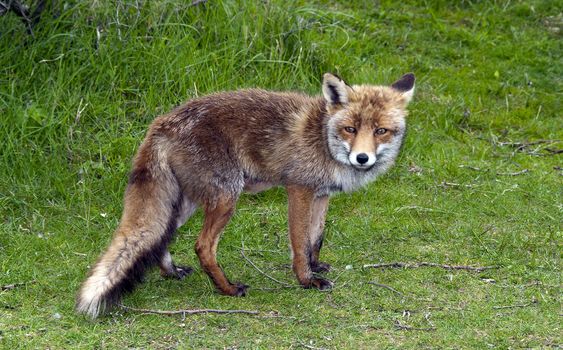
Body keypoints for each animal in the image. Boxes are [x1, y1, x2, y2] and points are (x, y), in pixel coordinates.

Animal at [76, 71, 414, 318]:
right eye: (350, 129)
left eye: (381, 131)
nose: (362, 158)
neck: (322, 138)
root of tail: (161, 122)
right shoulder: (299, 190)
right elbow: (299, 243)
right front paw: (306, 280)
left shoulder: (321, 195)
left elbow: (316, 238)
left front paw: (316, 265)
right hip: (226, 198)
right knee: (202, 247)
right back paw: (226, 288)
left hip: (186, 203)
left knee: (160, 237)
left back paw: (172, 272)